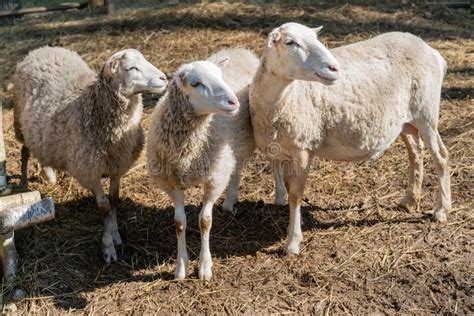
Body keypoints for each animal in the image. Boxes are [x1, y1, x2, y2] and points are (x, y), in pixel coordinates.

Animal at [13, 47, 167, 262]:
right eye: (131, 68)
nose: (164, 78)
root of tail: (41, 49)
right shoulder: (89, 171)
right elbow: (104, 207)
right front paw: (108, 247)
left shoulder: (117, 165)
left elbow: (114, 200)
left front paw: (115, 234)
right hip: (20, 121)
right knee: (25, 151)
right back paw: (23, 183)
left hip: (41, 133)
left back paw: (49, 175)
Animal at [147, 48, 260, 280]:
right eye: (195, 83)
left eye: (220, 75)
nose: (233, 102)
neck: (188, 153)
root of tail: (239, 50)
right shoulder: (171, 183)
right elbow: (179, 222)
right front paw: (181, 266)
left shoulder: (214, 179)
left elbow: (205, 221)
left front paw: (205, 266)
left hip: (245, 139)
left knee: (239, 168)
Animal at [248, 22, 452, 256]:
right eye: (289, 42)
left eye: (315, 38)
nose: (334, 68)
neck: (285, 97)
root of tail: (431, 50)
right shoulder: (283, 147)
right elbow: (285, 184)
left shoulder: (303, 146)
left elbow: (296, 194)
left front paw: (292, 243)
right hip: (406, 121)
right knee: (415, 153)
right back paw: (409, 200)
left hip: (426, 112)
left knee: (441, 157)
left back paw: (441, 210)